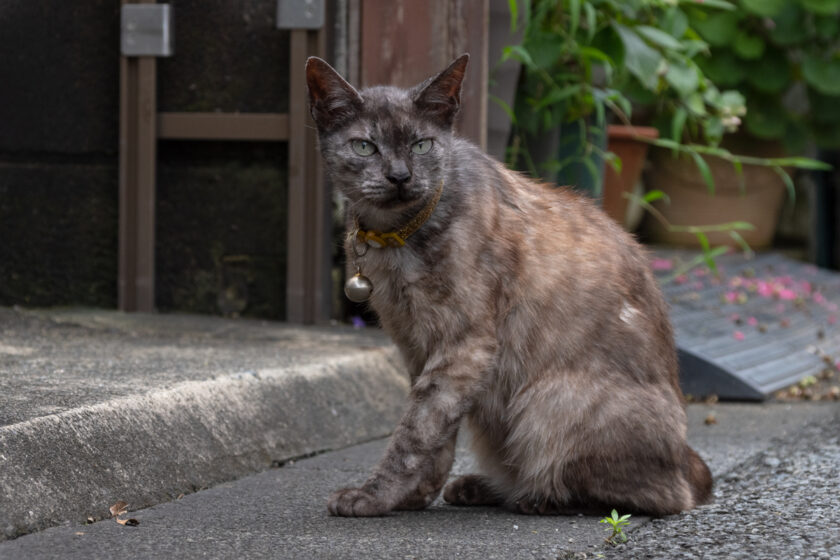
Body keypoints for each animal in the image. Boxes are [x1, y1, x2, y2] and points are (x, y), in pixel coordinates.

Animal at [306, 53, 712, 516]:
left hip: (547, 403)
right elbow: (436, 430)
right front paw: (415, 496)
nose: (399, 176)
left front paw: (376, 496)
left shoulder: (464, 345)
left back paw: (536, 496)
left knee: (652, 496)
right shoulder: (417, 346)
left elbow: (416, 431)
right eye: (364, 146)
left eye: (421, 145)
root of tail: (684, 457)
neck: (398, 238)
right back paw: (482, 488)